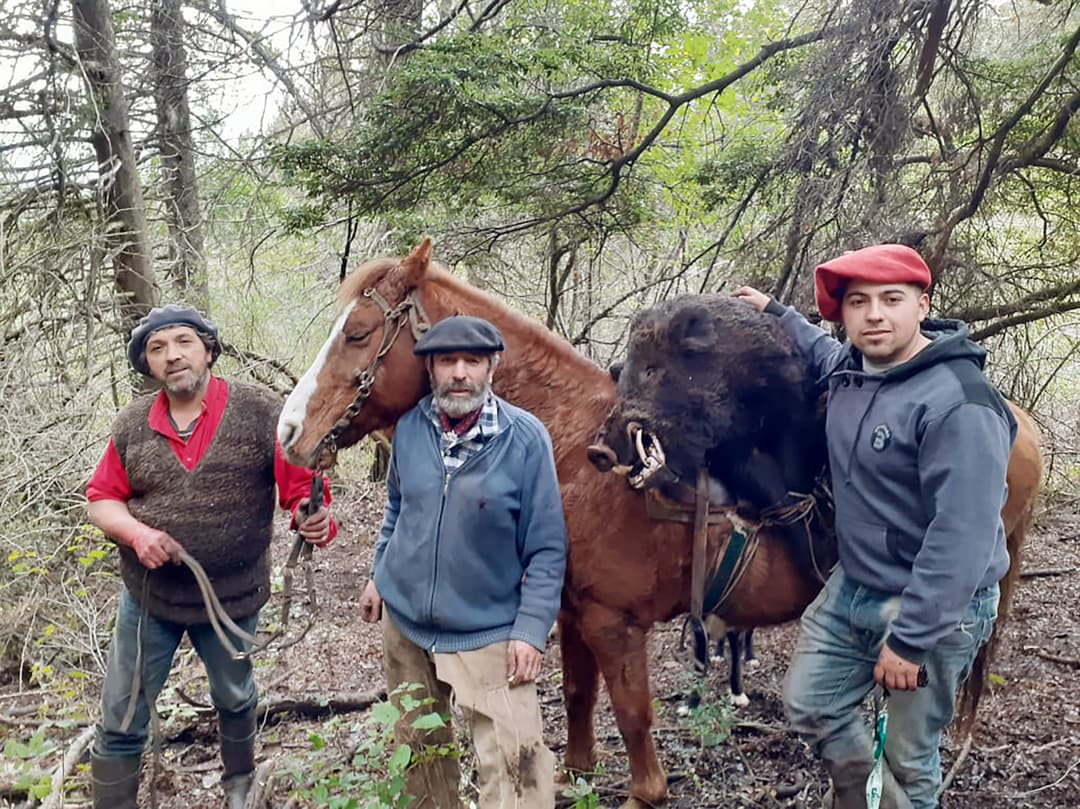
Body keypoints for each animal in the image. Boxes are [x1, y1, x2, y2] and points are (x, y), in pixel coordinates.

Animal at [274, 239, 1041, 807]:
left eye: (359, 333)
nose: (289, 433)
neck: (569, 453)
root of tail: (1016, 424)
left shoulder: (617, 625)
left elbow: (637, 737)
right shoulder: (571, 611)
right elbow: (578, 704)